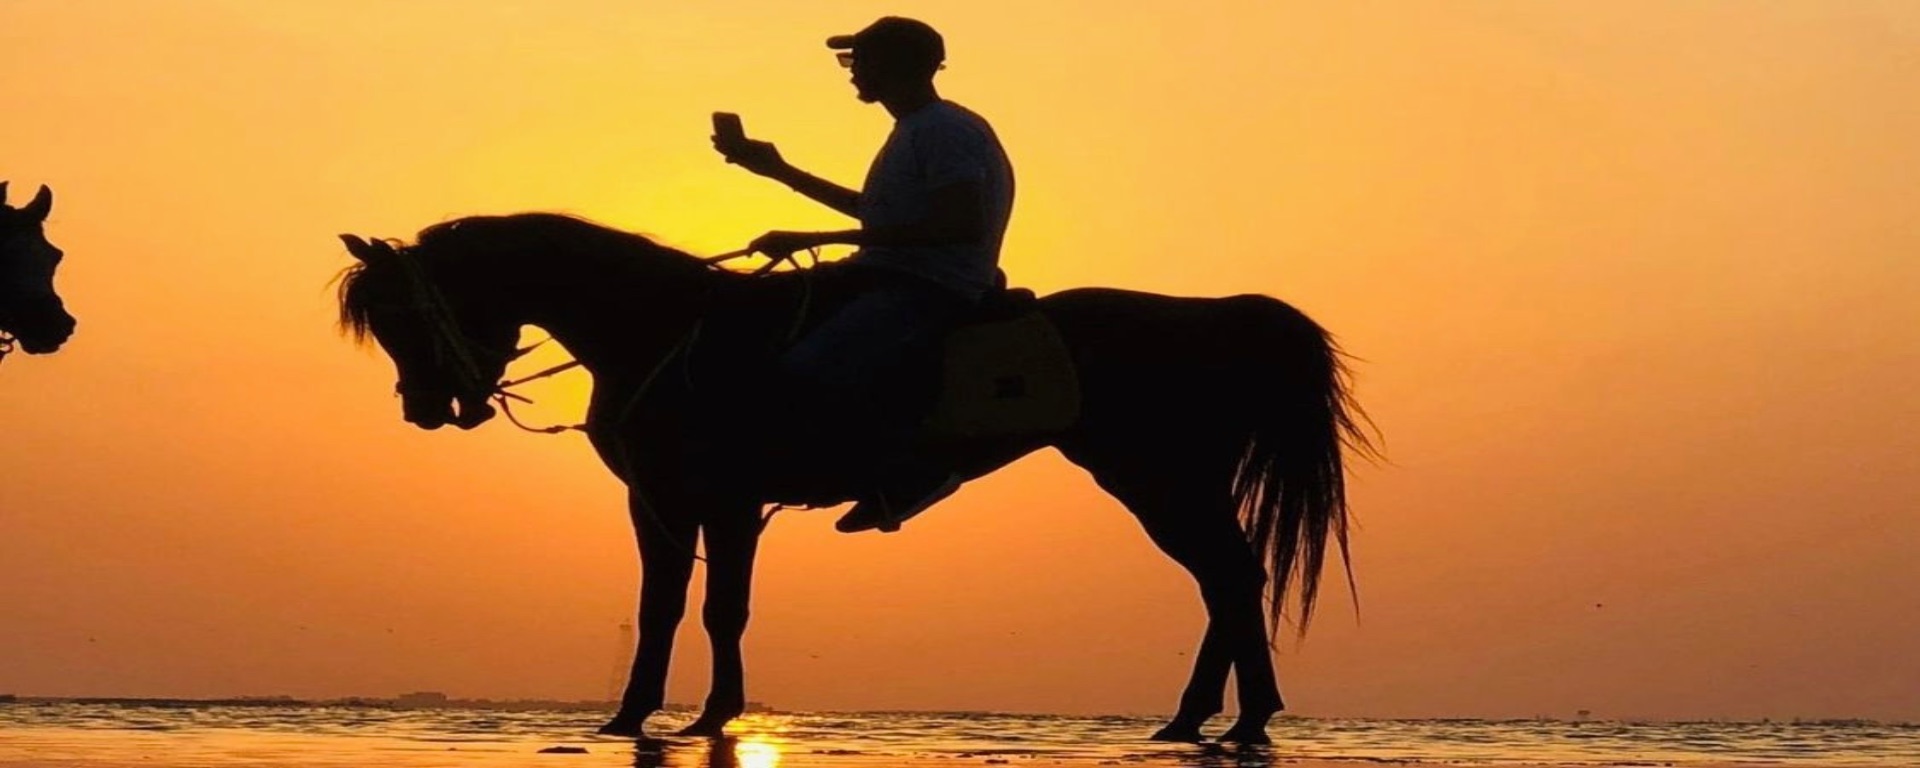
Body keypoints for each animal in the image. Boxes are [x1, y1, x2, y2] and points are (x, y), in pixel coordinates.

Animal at [337, 214, 1374, 744]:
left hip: (1155, 478)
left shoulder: (721, 502)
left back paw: (1237, 721)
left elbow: (716, 609)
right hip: (1164, 482)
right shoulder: (662, 502)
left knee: (1228, 577)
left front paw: (703, 713)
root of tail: (1214, 316)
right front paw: (636, 714)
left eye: (409, 313)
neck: (669, 331)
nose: (427, 408)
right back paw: (1200, 720)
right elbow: (664, 608)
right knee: (1224, 582)